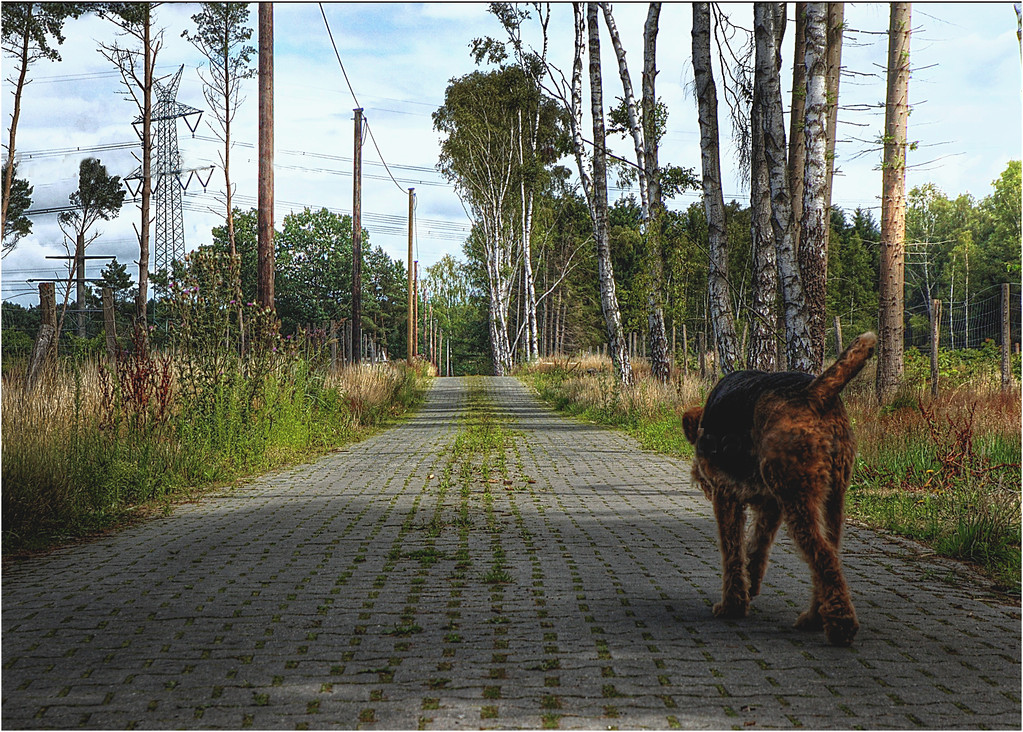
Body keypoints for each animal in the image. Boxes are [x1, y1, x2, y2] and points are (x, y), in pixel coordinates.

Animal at [683, 333, 875, 646]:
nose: (698, 478)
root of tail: (814, 394)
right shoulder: (770, 504)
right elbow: (757, 547)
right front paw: (750, 585)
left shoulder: (725, 496)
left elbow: (732, 552)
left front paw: (732, 604)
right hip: (831, 497)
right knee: (830, 556)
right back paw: (814, 617)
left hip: (797, 497)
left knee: (822, 556)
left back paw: (840, 626)